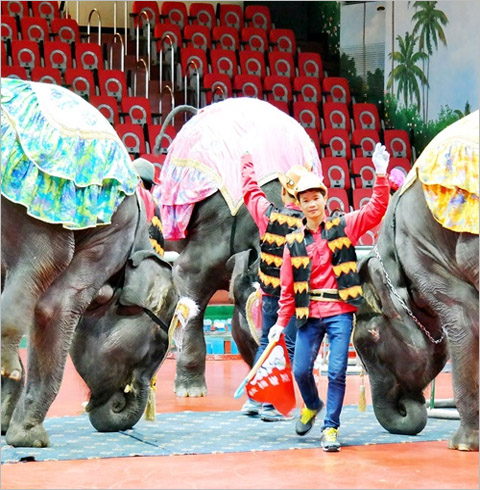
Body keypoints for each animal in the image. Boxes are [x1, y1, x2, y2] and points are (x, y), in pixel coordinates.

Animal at [1, 77, 178, 448]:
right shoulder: (114, 232)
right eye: (155, 349)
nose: (119, 404)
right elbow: (54, 306)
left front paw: (6, 424)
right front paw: (29, 438)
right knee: (45, 260)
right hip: (36, 193)